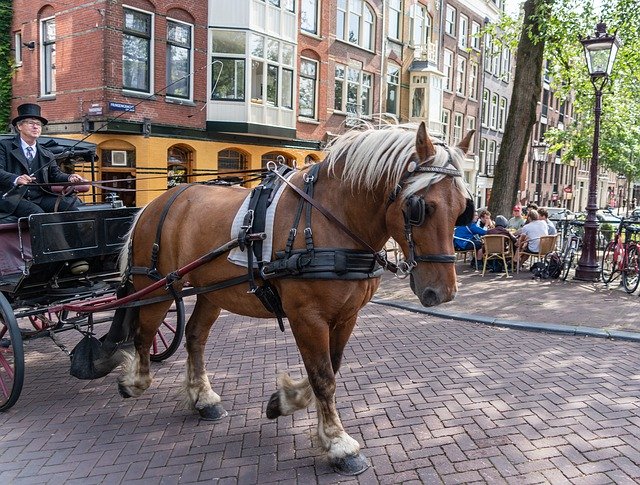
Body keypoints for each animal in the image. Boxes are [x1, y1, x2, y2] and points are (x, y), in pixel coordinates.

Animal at [117, 123, 472, 474]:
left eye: (462, 209)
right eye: (419, 208)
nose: (443, 292)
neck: (333, 218)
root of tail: (156, 202)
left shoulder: (346, 316)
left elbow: (330, 368)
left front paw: (284, 402)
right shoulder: (307, 316)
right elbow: (323, 377)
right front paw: (339, 444)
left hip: (210, 292)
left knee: (194, 337)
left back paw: (204, 399)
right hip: (157, 286)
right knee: (145, 333)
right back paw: (134, 381)